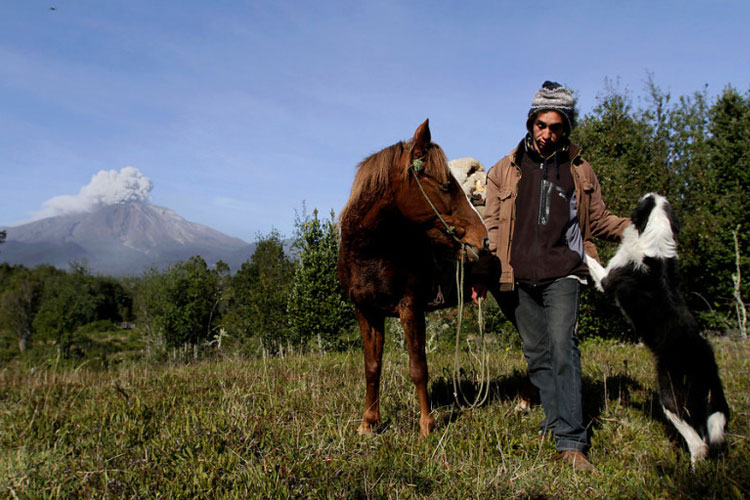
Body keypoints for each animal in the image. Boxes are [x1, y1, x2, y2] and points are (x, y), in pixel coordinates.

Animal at [338, 119, 490, 436]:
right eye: (445, 185)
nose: (482, 240)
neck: (372, 252)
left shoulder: (411, 308)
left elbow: (418, 367)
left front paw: (426, 425)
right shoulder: (366, 311)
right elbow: (372, 367)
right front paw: (368, 423)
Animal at [592, 192, 732, 464]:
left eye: (645, 201)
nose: (650, 193)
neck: (655, 235)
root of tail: (707, 365)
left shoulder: (606, 278)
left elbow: (589, 259)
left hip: (670, 393)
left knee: (698, 443)